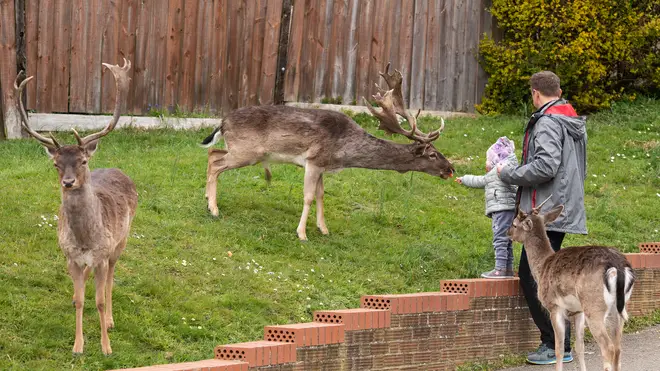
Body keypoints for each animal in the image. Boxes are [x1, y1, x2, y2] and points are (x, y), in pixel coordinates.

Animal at [14, 58, 136, 354]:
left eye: (82, 161)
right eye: (55, 164)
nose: (68, 182)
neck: (85, 240)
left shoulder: (103, 254)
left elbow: (99, 300)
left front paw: (106, 346)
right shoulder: (70, 256)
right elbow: (82, 300)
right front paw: (78, 345)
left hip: (121, 242)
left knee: (111, 278)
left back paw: (111, 320)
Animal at [202, 64, 454, 241]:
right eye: (432, 154)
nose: (451, 169)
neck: (343, 152)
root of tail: (223, 122)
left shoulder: (322, 166)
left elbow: (321, 195)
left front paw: (323, 229)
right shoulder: (313, 160)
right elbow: (308, 196)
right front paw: (302, 234)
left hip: (239, 149)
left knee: (213, 152)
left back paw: (207, 198)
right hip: (248, 152)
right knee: (216, 163)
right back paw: (214, 209)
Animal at [506, 201, 636, 371]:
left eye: (514, 224)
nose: (507, 232)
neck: (542, 268)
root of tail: (619, 267)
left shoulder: (554, 307)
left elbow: (559, 348)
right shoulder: (578, 311)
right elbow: (579, 347)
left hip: (594, 306)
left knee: (608, 347)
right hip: (619, 308)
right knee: (618, 347)